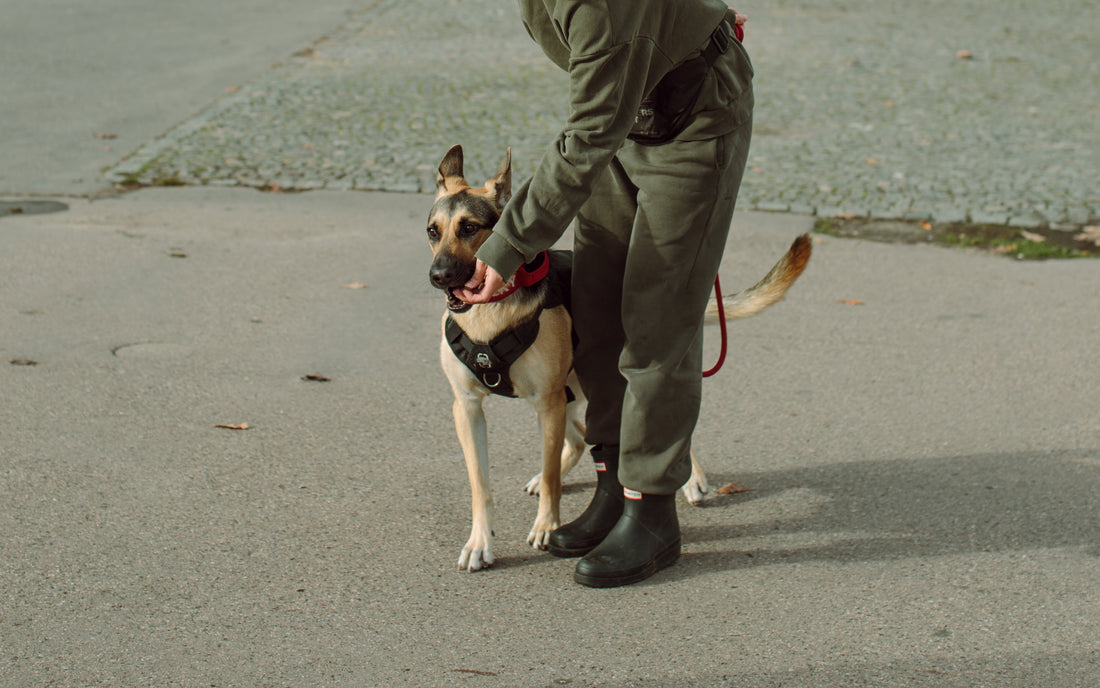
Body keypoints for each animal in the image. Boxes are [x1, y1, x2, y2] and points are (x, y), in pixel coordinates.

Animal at [426, 143, 809, 568]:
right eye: (433, 231)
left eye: (469, 228)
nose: (438, 275)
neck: (492, 312)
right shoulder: (468, 408)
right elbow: (481, 485)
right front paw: (480, 541)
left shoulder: (547, 403)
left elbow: (552, 477)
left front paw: (546, 526)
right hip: (571, 395)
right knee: (580, 441)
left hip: (603, 385)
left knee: (665, 426)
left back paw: (691, 478)